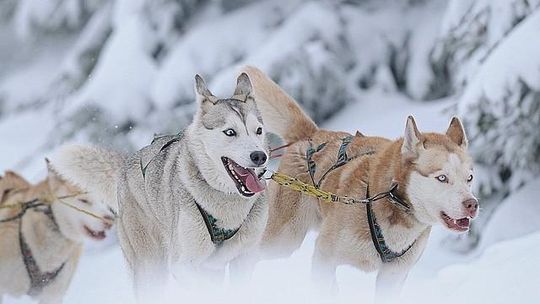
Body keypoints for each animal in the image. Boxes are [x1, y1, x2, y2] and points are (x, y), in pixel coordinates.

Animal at [54, 73, 270, 296]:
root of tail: (126, 164)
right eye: (230, 132)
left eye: (258, 130)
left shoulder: (243, 258)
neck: (226, 205)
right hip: (150, 268)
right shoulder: (183, 265)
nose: (260, 156)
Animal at [243, 65, 478, 300]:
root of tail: (312, 135)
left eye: (469, 178)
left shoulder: (393, 276)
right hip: (281, 240)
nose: (472, 204)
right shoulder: (324, 256)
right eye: (442, 178)